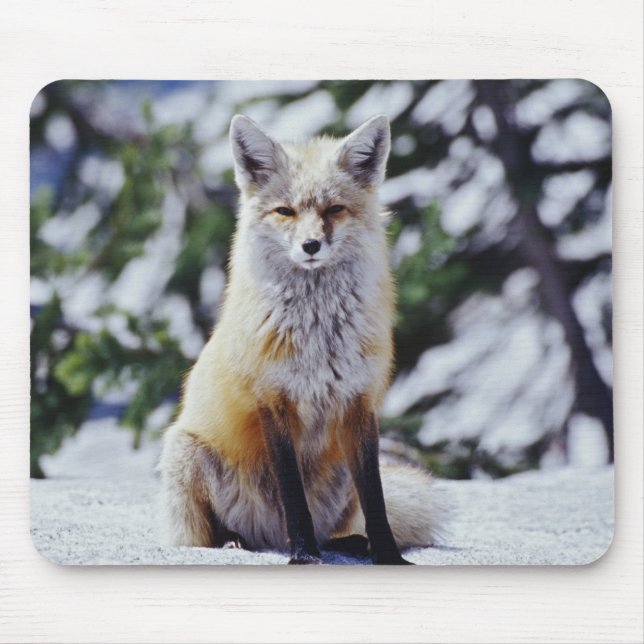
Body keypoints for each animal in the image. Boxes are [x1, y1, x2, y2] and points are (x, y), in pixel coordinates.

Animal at [158, 114, 444, 564]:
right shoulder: (273, 402)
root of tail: (269, 536)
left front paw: (389, 556)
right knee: (209, 533)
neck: (318, 337)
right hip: (185, 452)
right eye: (285, 211)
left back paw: (349, 543)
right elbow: (293, 495)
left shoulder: (359, 403)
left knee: (337, 526)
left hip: (339, 475)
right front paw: (305, 557)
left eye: (334, 209)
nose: (311, 245)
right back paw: (237, 540)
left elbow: (376, 498)